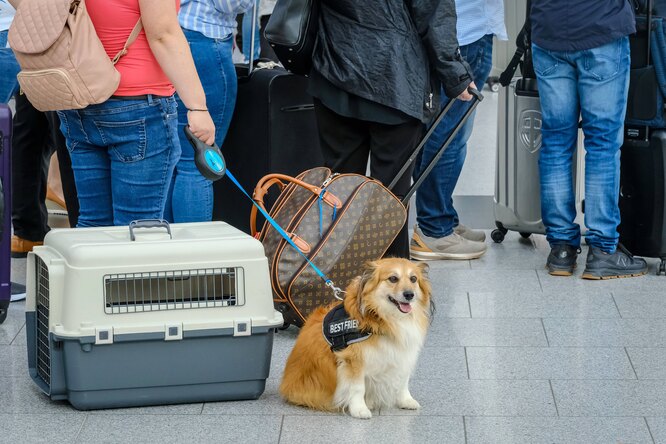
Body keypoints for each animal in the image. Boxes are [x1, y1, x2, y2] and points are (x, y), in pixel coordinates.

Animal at [278, 258, 430, 418]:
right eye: (393, 278)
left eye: (413, 279)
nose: (409, 294)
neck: (381, 318)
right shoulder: (353, 360)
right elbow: (357, 387)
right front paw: (359, 409)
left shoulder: (403, 354)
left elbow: (403, 380)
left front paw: (405, 400)